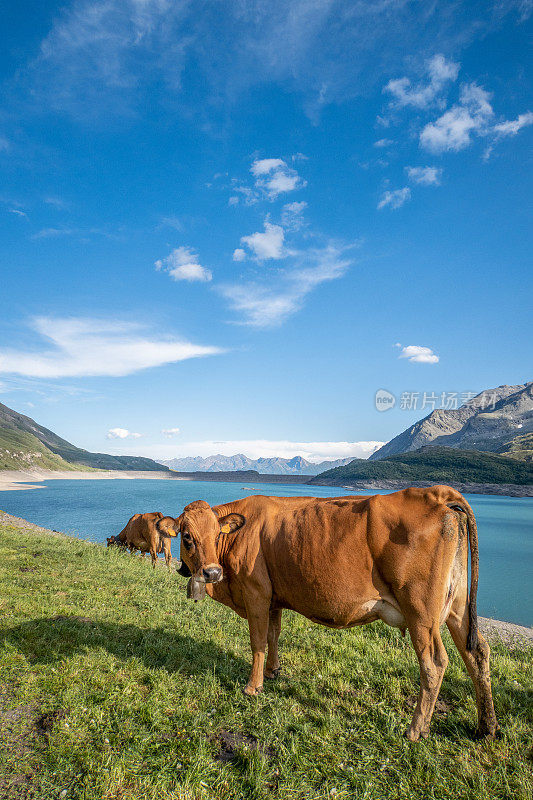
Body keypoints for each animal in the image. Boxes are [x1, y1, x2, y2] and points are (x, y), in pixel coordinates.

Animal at [156, 488, 496, 744]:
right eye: (187, 537)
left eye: (216, 535)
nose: (211, 573)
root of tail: (435, 493)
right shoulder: (275, 598)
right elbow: (273, 635)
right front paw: (274, 672)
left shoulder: (256, 594)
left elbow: (257, 642)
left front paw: (253, 686)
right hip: (457, 605)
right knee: (476, 653)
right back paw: (486, 727)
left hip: (421, 613)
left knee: (434, 663)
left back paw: (416, 729)